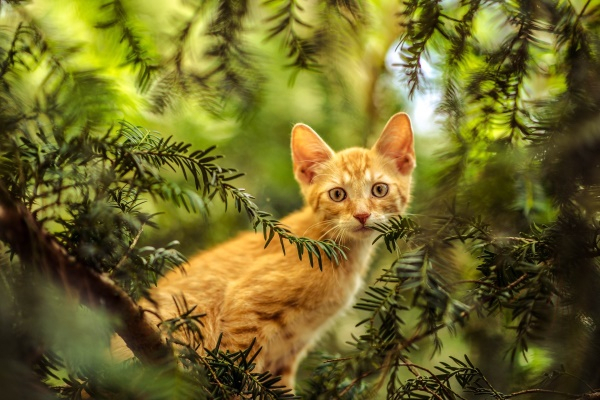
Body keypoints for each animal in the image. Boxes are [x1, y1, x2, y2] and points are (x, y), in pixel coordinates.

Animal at [110, 112, 414, 390]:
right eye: (338, 194)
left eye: (379, 190)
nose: (362, 215)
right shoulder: (244, 306)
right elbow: (239, 368)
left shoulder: (290, 348)